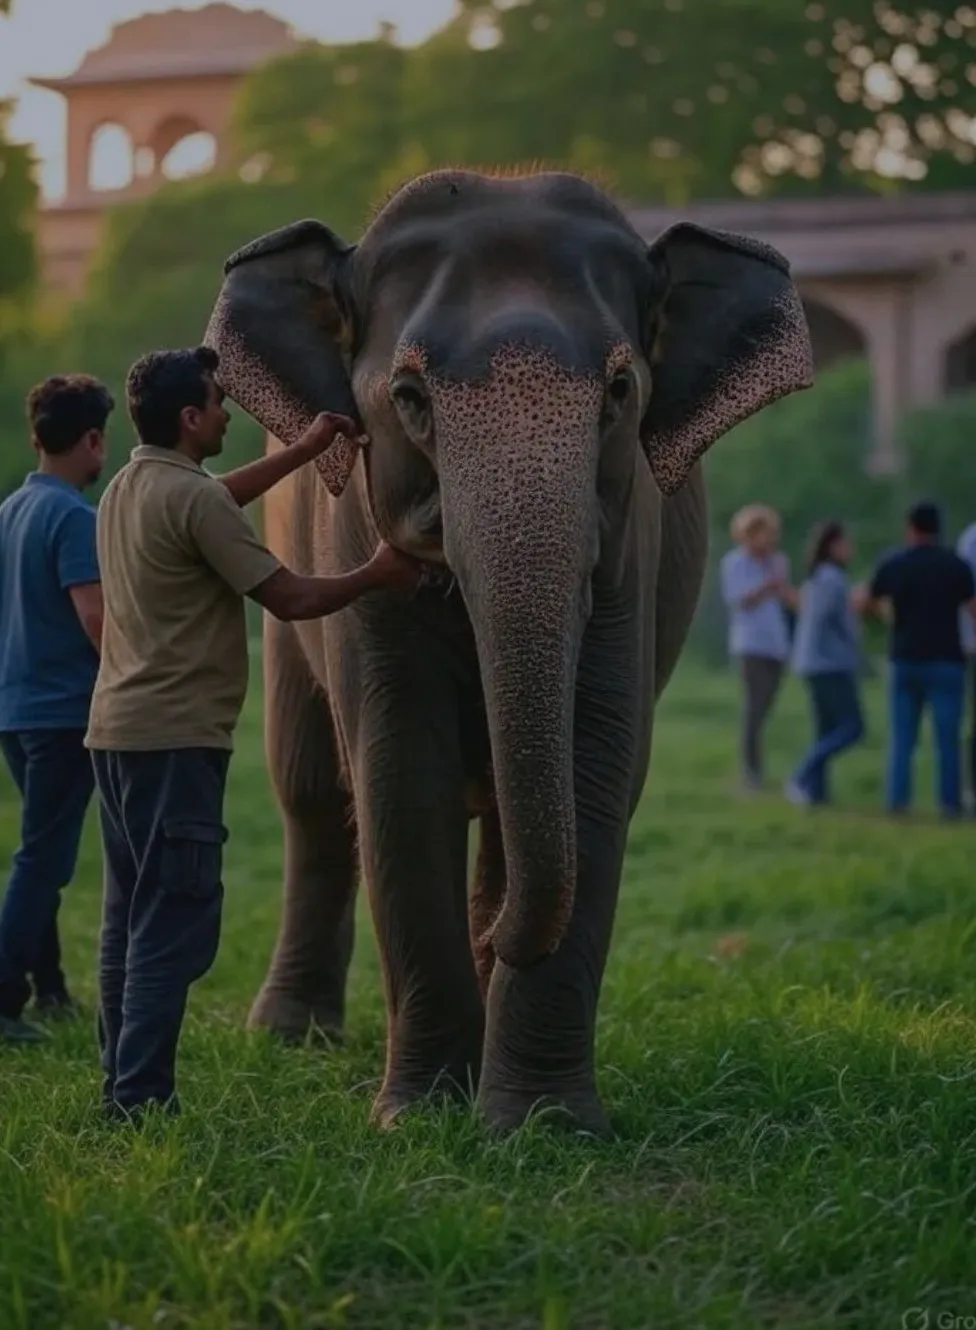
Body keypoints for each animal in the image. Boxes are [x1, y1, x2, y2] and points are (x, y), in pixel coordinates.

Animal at [203, 168, 813, 1136]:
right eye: (409, 396)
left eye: (619, 390)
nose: (497, 941)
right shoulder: (347, 542)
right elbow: (399, 767)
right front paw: (419, 1118)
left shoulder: (627, 550)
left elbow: (598, 761)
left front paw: (543, 1124)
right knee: (310, 792)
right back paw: (293, 1034)